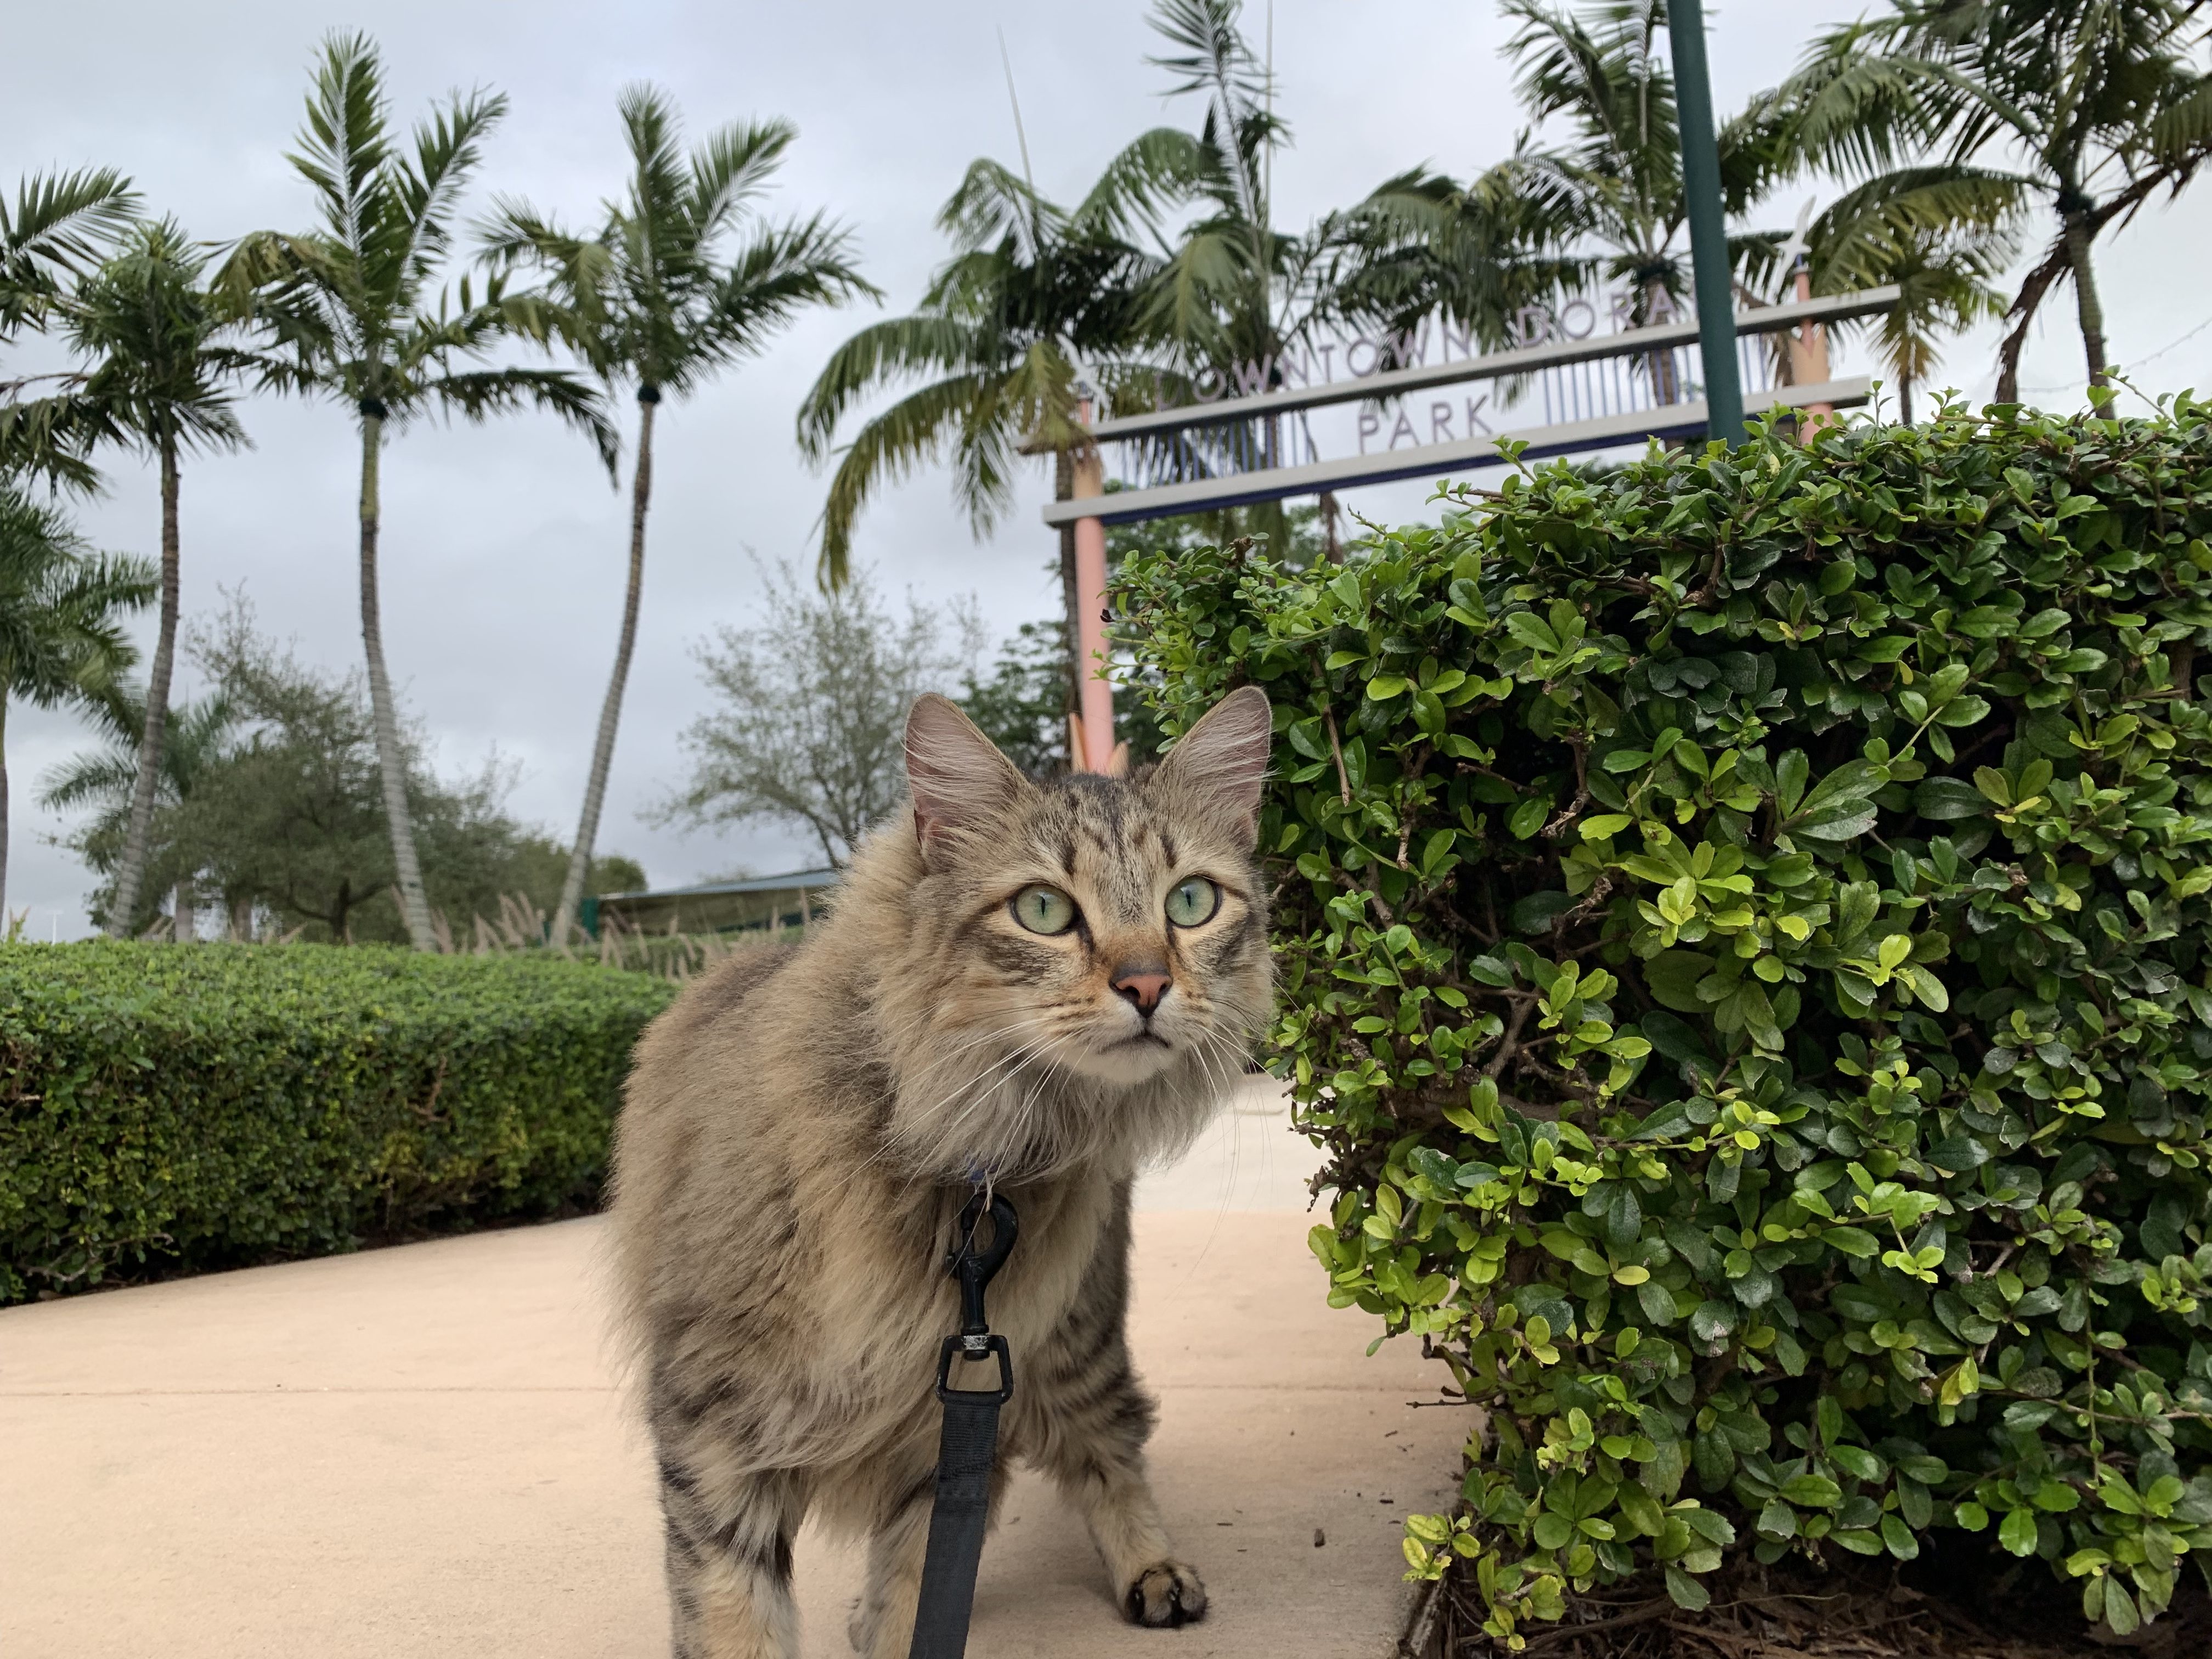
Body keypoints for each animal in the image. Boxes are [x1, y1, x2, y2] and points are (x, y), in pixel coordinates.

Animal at [610, 685, 1283, 1659]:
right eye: (1043, 910)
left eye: (1191, 901)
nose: (1149, 986)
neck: (959, 1160)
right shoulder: (714, 1418)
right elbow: (735, 1614)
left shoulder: (953, 1423)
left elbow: (921, 1587)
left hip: (1078, 1334)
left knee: (1111, 1445)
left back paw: (1152, 1570)